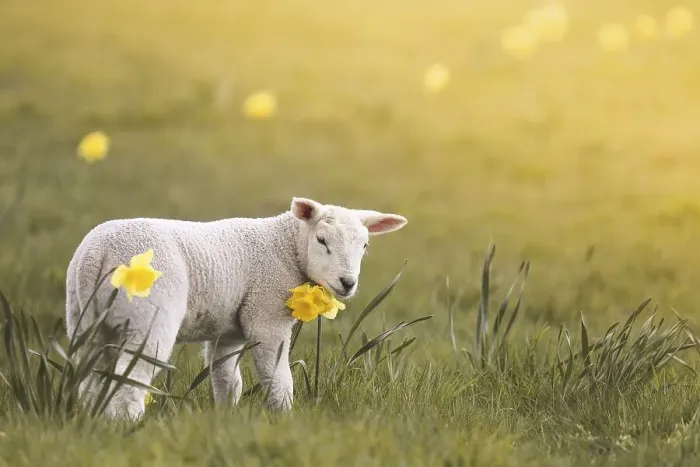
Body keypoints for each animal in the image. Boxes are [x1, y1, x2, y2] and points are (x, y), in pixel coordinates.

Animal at [65, 197, 407, 420]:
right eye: (322, 240)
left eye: (364, 245)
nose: (347, 283)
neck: (285, 247)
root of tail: (97, 255)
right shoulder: (266, 314)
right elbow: (277, 377)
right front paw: (283, 417)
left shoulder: (226, 331)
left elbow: (228, 380)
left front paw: (226, 417)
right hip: (148, 314)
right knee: (129, 375)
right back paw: (127, 423)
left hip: (84, 318)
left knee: (90, 373)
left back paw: (91, 415)